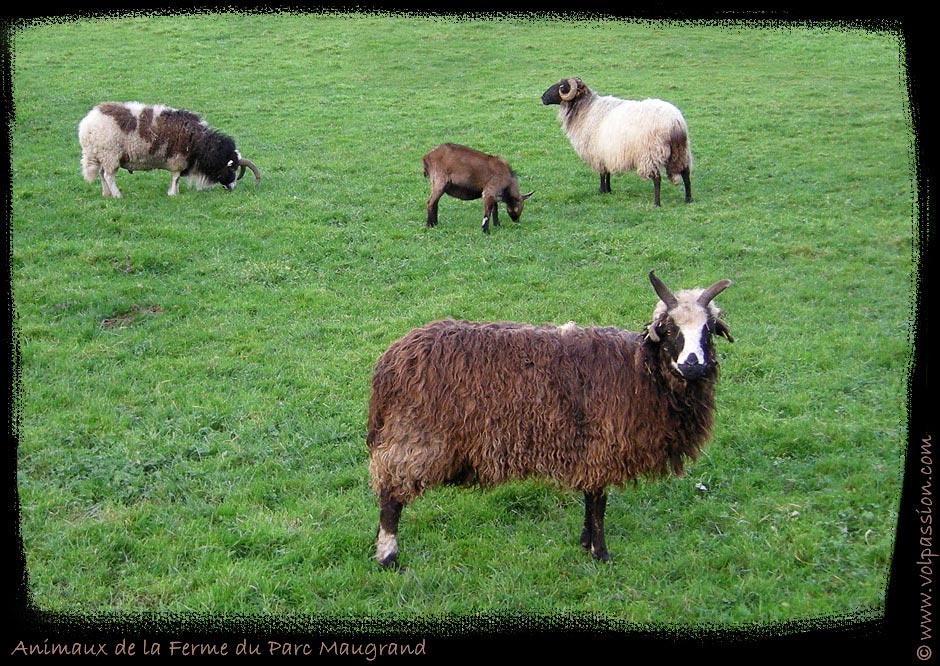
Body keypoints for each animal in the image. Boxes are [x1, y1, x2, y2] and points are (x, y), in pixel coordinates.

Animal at [77, 100, 258, 196]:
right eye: (232, 169)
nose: (232, 188)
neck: (202, 145)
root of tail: (86, 125)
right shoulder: (177, 161)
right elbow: (175, 178)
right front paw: (173, 194)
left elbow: (175, 179)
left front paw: (175, 192)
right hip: (110, 155)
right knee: (108, 176)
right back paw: (117, 195)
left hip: (103, 156)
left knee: (102, 174)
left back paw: (106, 194)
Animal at [368, 268, 736, 564]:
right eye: (670, 330)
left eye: (708, 331)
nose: (692, 364)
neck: (639, 370)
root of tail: (391, 360)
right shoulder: (602, 445)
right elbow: (599, 502)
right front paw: (600, 554)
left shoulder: (591, 450)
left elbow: (591, 497)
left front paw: (585, 543)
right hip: (417, 436)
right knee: (390, 492)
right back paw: (387, 556)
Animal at [544, 77, 692, 205]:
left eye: (562, 87)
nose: (542, 98)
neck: (586, 110)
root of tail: (675, 121)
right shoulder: (606, 152)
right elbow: (607, 172)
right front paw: (608, 190)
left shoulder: (597, 152)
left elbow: (602, 174)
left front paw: (602, 190)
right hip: (680, 150)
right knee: (685, 173)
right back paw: (688, 199)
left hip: (651, 153)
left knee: (657, 178)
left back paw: (657, 203)